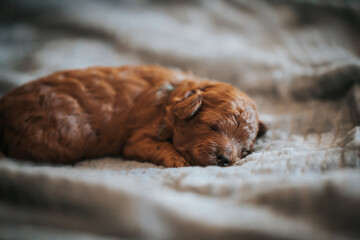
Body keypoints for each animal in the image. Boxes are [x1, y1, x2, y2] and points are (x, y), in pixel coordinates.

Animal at [0, 65, 266, 167]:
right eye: (212, 126)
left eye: (245, 151)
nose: (225, 159)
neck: (171, 98)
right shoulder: (138, 138)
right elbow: (162, 148)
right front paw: (181, 162)